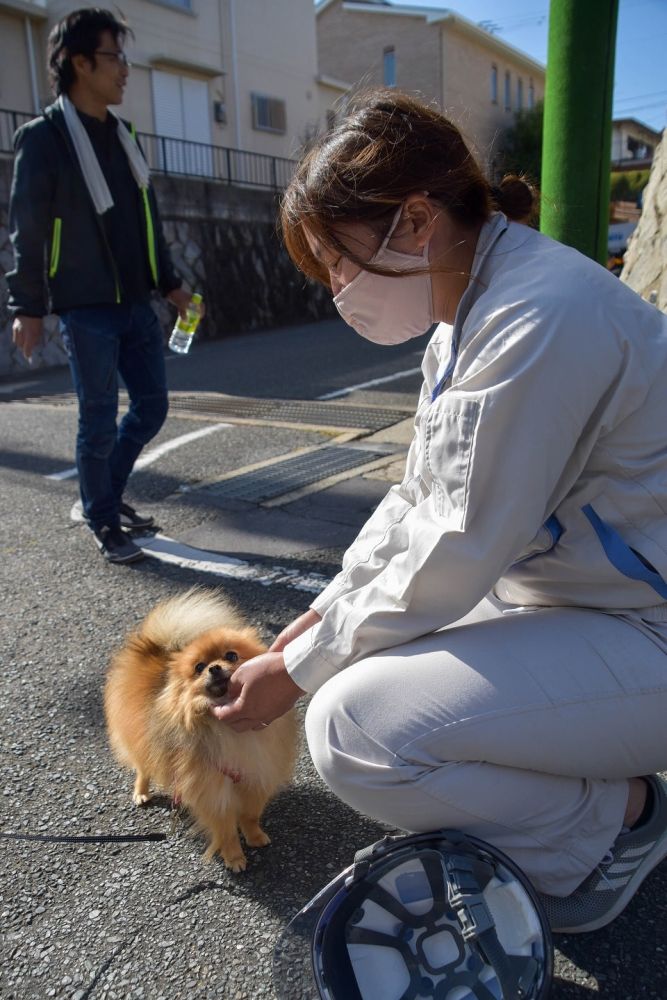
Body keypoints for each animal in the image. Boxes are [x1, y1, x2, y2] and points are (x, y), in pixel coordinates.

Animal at [105, 588, 300, 872]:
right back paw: (141, 793)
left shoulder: (256, 775)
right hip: (142, 741)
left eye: (231, 655)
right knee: (143, 768)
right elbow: (226, 830)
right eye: (198, 667)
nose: (214, 667)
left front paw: (255, 837)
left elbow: (250, 815)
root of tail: (153, 647)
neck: (229, 732)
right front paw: (234, 857)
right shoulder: (212, 791)